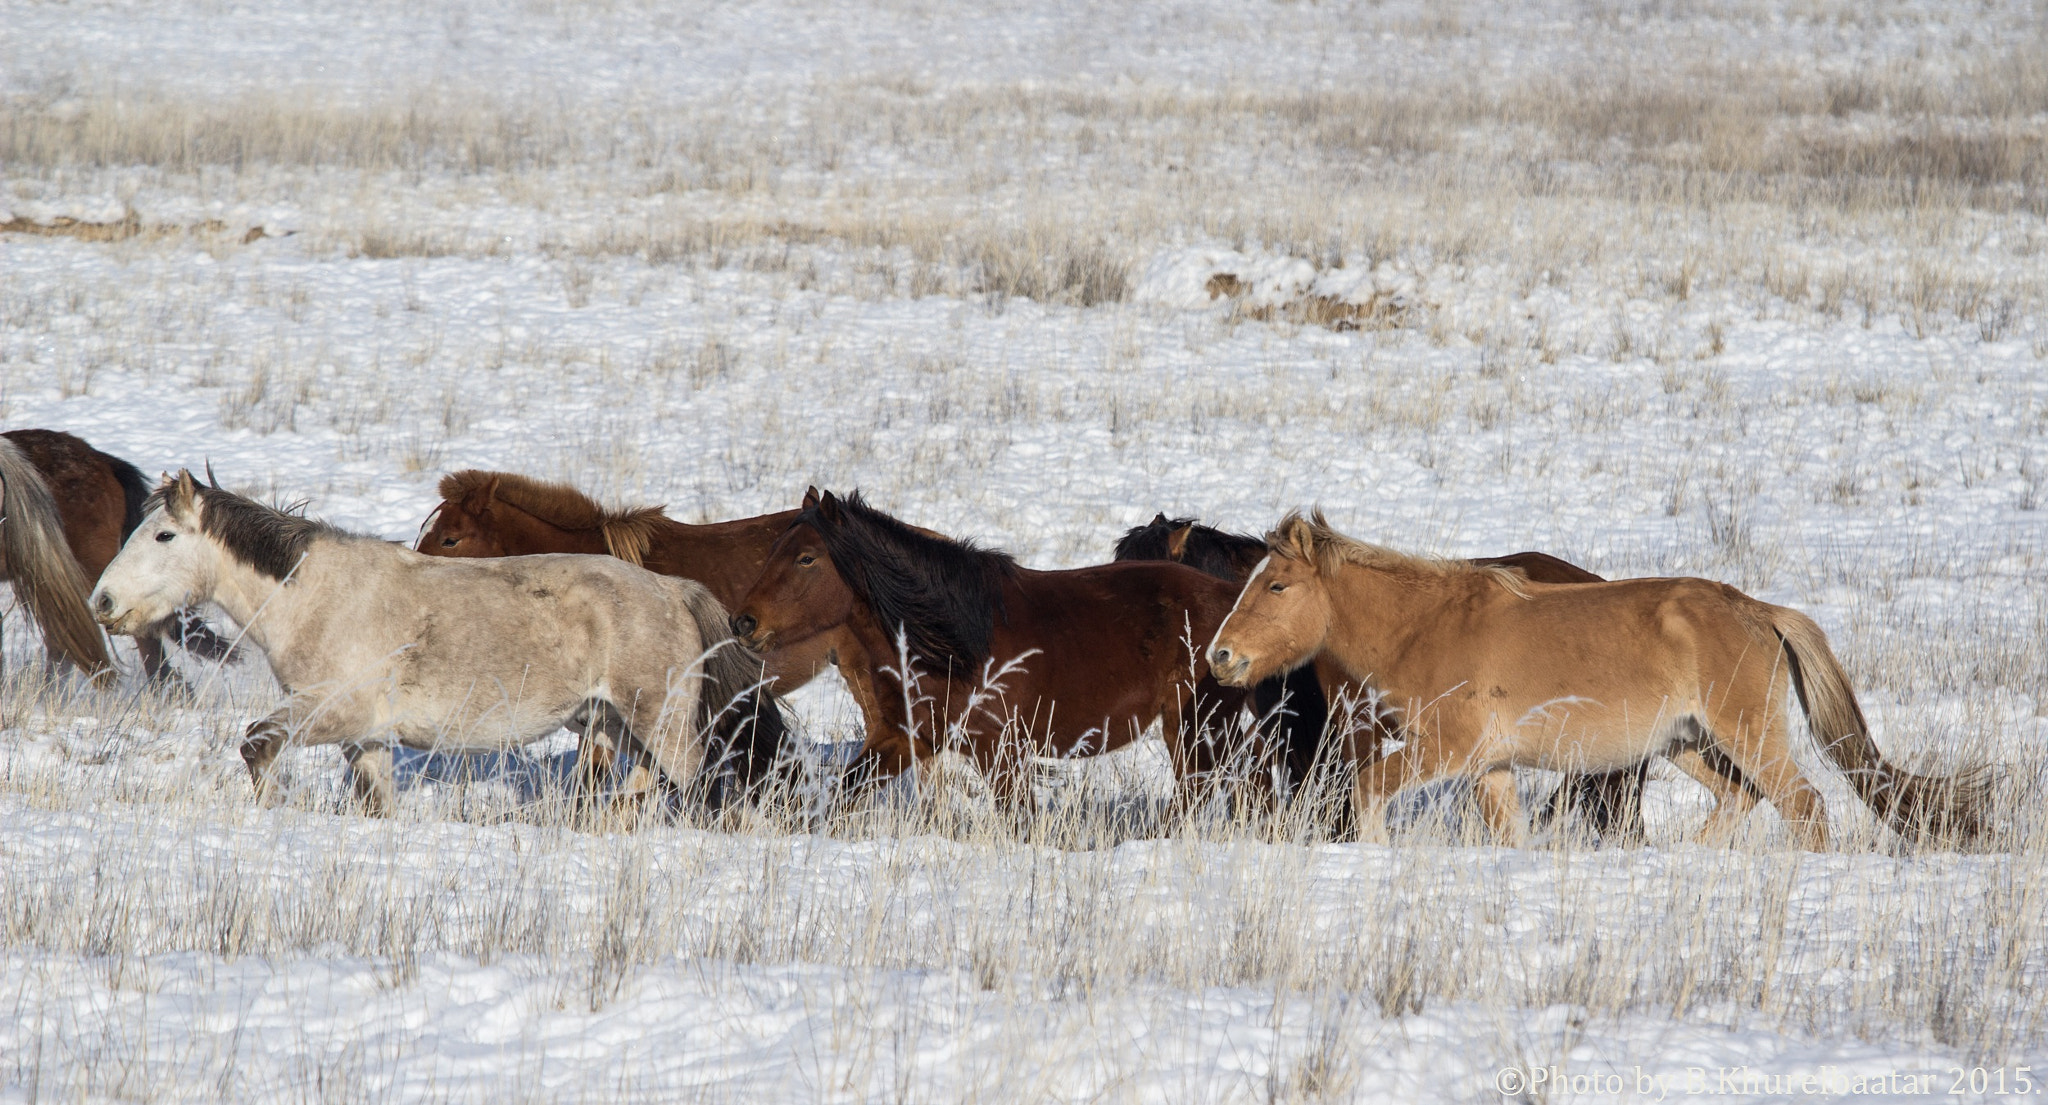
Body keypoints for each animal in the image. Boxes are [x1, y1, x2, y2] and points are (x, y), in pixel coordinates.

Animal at [730, 491, 1259, 823]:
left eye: (807, 558)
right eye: (774, 550)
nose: (743, 623)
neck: (955, 640)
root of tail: (1232, 599)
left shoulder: (999, 750)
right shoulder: (904, 738)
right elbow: (841, 791)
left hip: (1197, 727)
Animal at [1205, 511, 1992, 850]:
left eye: (1276, 585)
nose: (1221, 656)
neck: (1427, 624)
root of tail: (1759, 611)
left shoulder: (1447, 750)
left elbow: (1368, 789)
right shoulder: (1491, 768)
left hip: (1746, 734)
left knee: (1804, 806)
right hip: (1687, 744)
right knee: (1742, 801)